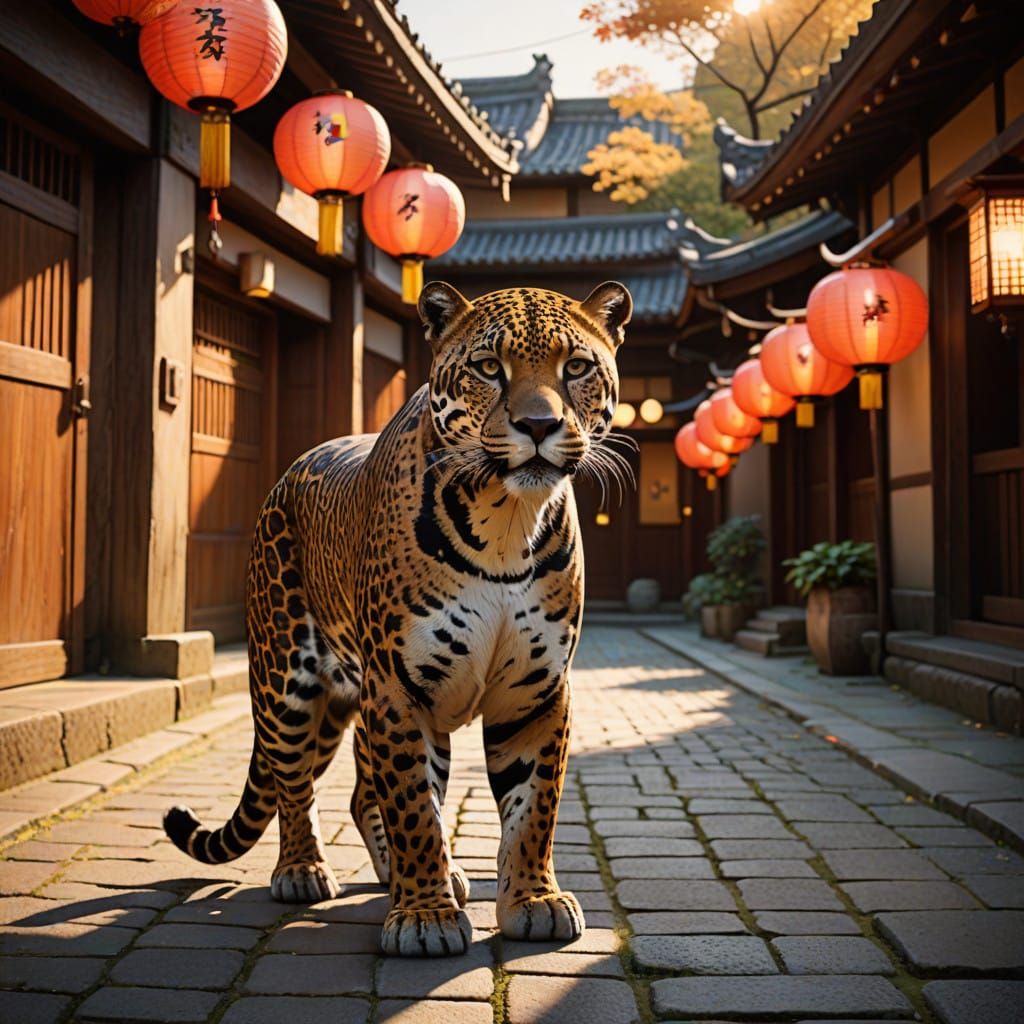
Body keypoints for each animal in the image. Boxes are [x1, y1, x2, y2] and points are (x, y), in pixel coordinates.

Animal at [163, 280, 633, 956]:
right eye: (488, 368)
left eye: (575, 368)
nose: (539, 425)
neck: (507, 520)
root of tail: (291, 469)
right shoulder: (398, 690)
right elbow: (414, 806)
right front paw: (425, 917)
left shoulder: (537, 691)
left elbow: (533, 807)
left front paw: (533, 901)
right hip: (287, 681)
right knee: (292, 780)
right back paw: (303, 869)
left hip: (349, 700)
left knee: (360, 791)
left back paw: (404, 873)